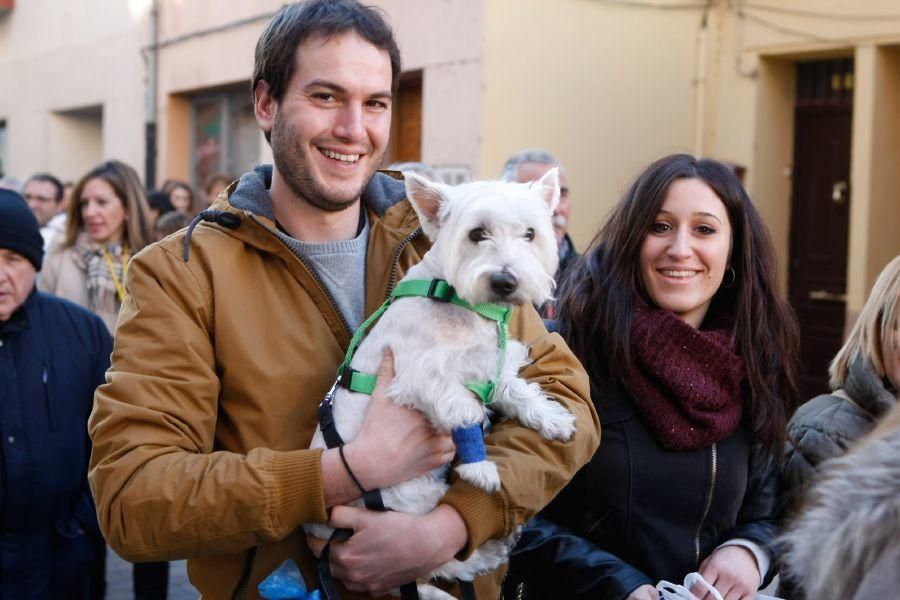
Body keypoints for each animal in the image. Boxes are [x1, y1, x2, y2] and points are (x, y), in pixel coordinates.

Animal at [310, 166, 572, 596]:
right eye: (477, 233)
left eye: (530, 234)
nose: (505, 281)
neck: (459, 299)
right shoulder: (423, 374)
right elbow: (463, 410)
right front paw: (479, 468)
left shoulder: (490, 366)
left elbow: (519, 391)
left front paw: (553, 419)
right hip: (410, 503)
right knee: (441, 561)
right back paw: (490, 552)